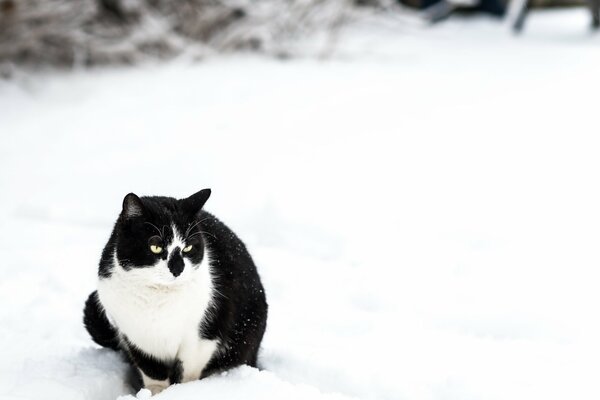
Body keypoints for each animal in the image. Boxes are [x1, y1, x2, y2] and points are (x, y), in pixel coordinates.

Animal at [82, 190, 268, 394]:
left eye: (188, 247)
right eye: (155, 246)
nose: (178, 268)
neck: (158, 298)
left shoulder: (203, 335)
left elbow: (188, 370)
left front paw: (182, 391)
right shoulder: (136, 336)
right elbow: (151, 370)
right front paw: (155, 393)